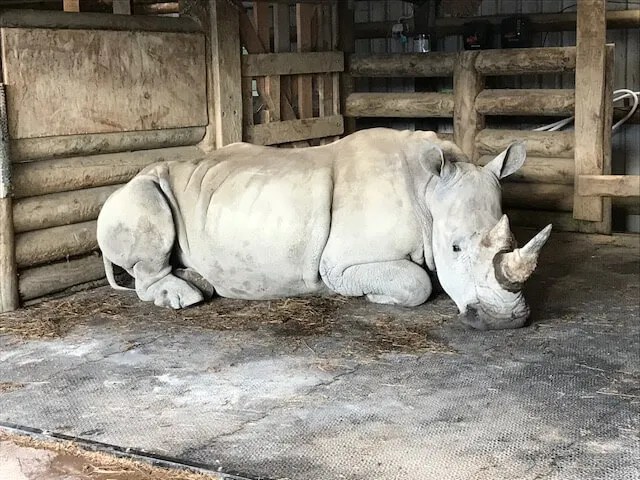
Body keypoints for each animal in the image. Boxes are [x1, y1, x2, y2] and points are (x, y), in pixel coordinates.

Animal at [97, 128, 551, 330]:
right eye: (455, 249)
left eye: (513, 239)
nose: (505, 321)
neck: (428, 191)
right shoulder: (340, 265)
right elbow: (416, 282)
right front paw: (377, 297)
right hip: (134, 193)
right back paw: (184, 298)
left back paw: (198, 281)